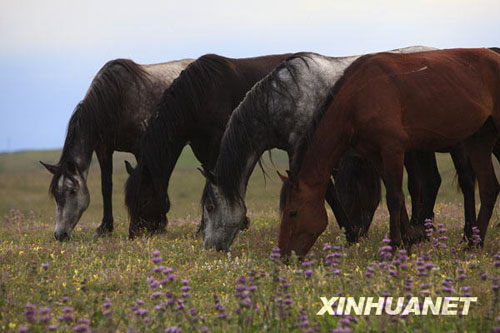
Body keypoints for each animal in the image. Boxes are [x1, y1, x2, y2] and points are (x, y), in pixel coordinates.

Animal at [199, 45, 438, 250]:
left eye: (210, 207)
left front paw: (351, 235)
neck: (285, 97)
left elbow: (329, 193)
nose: (210, 248)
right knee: (424, 182)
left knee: (428, 181)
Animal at [280, 48, 500, 256]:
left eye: (293, 213)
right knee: (489, 188)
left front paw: (394, 246)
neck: (359, 98)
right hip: (479, 140)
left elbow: (393, 198)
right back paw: (474, 244)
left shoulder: (392, 149)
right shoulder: (377, 155)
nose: (284, 256)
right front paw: (408, 240)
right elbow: (399, 197)